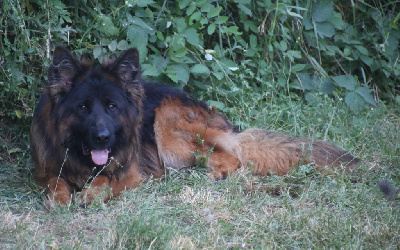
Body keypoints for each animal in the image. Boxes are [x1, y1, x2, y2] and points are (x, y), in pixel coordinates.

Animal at [29, 46, 358, 205]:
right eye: (83, 107)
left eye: (112, 107)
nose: (103, 138)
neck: (82, 159)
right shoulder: (46, 171)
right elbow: (55, 184)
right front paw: (60, 199)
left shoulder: (131, 173)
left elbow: (104, 181)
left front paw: (89, 194)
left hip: (167, 123)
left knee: (233, 158)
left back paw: (214, 174)